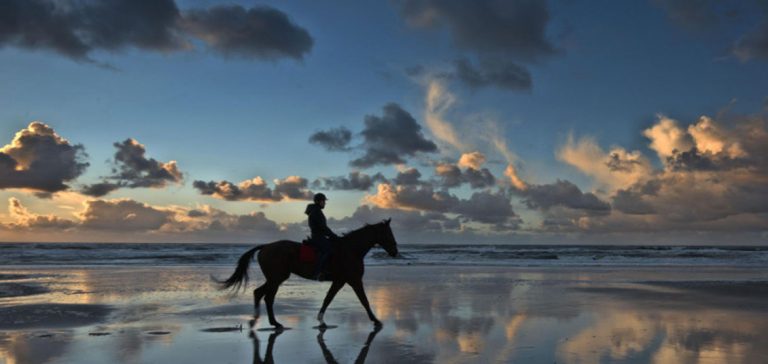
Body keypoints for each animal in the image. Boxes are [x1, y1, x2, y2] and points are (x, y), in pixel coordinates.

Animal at [219, 219, 400, 330]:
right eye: (388, 233)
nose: (395, 252)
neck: (350, 250)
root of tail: (265, 247)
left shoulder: (340, 281)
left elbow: (328, 299)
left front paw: (321, 321)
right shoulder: (353, 280)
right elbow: (364, 301)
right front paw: (376, 320)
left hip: (275, 278)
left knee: (260, 294)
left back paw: (265, 321)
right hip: (277, 278)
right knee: (266, 296)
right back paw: (268, 322)